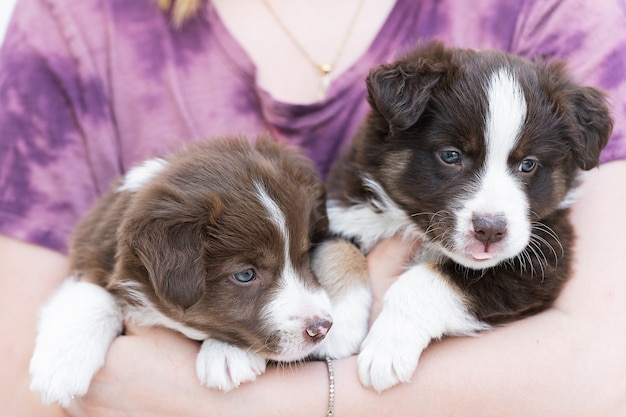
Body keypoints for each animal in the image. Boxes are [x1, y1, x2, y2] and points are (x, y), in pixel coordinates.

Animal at [30, 135, 370, 404]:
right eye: (245, 275)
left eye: (305, 254)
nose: (322, 327)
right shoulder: (92, 251)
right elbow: (91, 291)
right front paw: (59, 365)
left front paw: (227, 355)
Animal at [324, 40, 612, 392]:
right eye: (451, 155)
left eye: (528, 164)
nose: (489, 230)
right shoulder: (343, 205)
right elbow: (337, 248)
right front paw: (339, 324)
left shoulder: (541, 263)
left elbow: (429, 279)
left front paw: (386, 350)